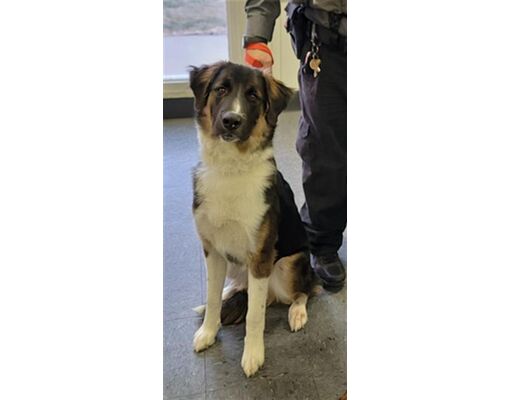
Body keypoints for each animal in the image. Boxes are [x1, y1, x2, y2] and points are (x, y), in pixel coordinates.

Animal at [189, 61, 316, 376]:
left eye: (253, 96)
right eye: (221, 89)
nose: (231, 121)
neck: (230, 168)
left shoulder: (260, 256)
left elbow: (255, 317)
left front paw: (253, 355)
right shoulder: (212, 250)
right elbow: (211, 299)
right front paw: (208, 332)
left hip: (288, 266)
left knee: (305, 289)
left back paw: (297, 312)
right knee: (243, 289)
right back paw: (229, 291)